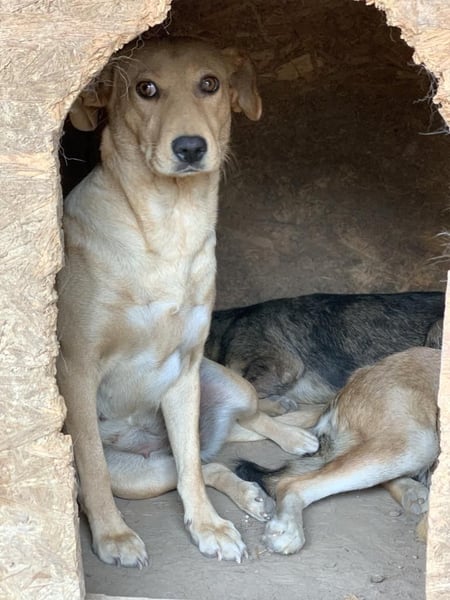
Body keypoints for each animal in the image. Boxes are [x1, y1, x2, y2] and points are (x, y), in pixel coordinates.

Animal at [57, 37, 320, 568]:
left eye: (209, 83)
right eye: (145, 89)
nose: (191, 147)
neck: (167, 227)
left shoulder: (186, 368)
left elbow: (193, 472)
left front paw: (208, 527)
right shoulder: (77, 369)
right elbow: (93, 469)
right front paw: (113, 536)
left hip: (228, 384)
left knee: (211, 451)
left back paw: (285, 447)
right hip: (139, 475)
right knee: (194, 464)